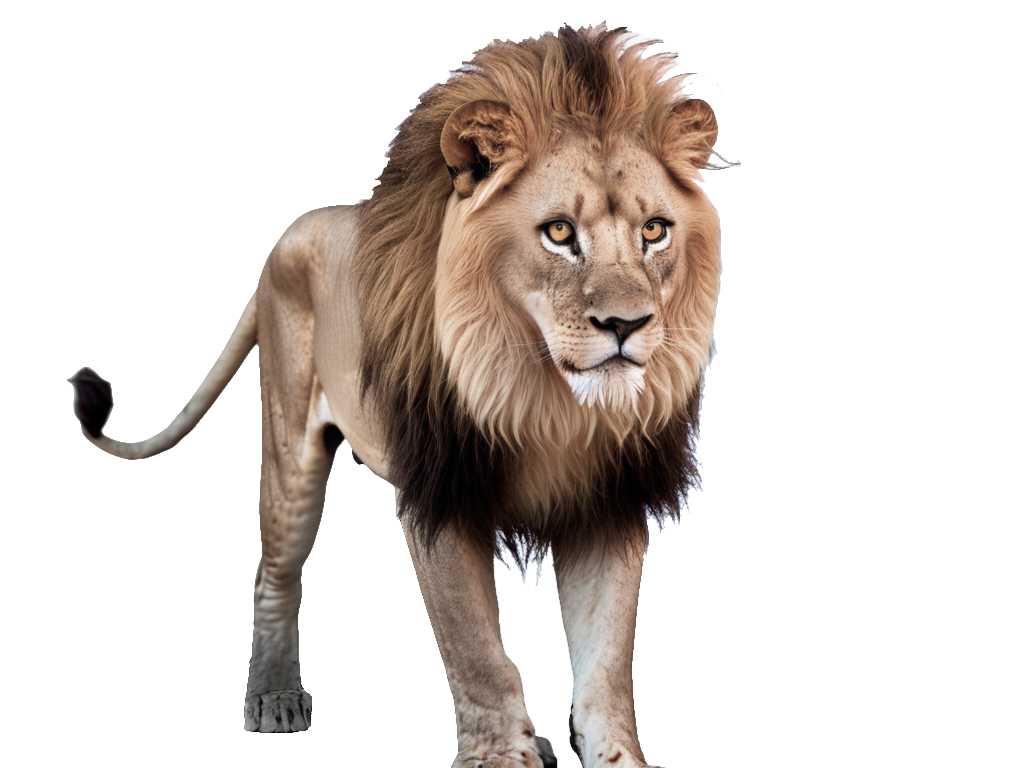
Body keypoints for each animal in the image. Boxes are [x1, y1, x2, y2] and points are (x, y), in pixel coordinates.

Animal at [69, 24, 732, 768]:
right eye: (560, 232)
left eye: (655, 231)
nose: (627, 325)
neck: (544, 400)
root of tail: (288, 234)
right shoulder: (439, 495)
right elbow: (475, 650)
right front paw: (498, 758)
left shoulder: (609, 499)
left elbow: (606, 660)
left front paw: (617, 759)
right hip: (290, 445)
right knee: (275, 570)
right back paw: (274, 698)